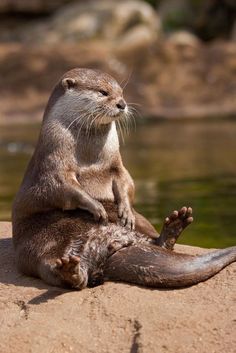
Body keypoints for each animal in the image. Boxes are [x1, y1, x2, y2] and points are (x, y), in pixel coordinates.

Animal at [11, 68, 236, 288]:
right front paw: (96, 207)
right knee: (54, 269)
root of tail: (110, 247)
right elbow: (63, 188)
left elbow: (126, 182)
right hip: (39, 246)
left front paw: (125, 210)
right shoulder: (53, 163)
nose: (122, 103)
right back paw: (70, 271)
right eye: (103, 92)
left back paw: (173, 226)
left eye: (121, 93)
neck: (89, 157)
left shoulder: (116, 165)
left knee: (156, 241)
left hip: (141, 221)